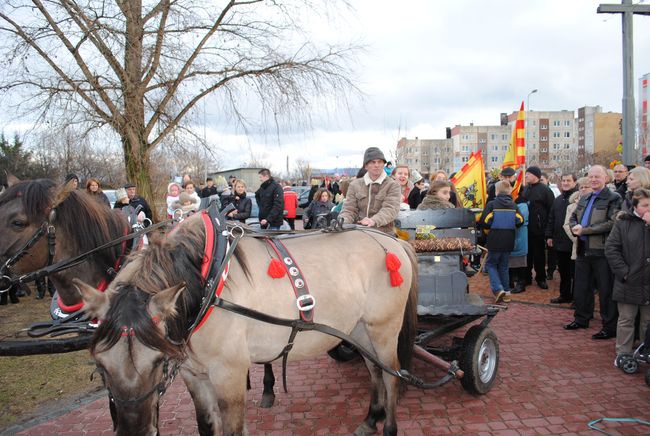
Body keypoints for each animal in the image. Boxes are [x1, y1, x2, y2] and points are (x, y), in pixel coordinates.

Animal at [77, 213, 420, 436]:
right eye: (100, 367)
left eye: (159, 361)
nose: (133, 432)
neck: (207, 285)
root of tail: (393, 242)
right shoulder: (193, 376)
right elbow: (206, 427)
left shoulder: (229, 375)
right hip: (358, 329)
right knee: (374, 370)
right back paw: (371, 418)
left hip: (383, 328)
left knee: (391, 375)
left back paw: (389, 427)